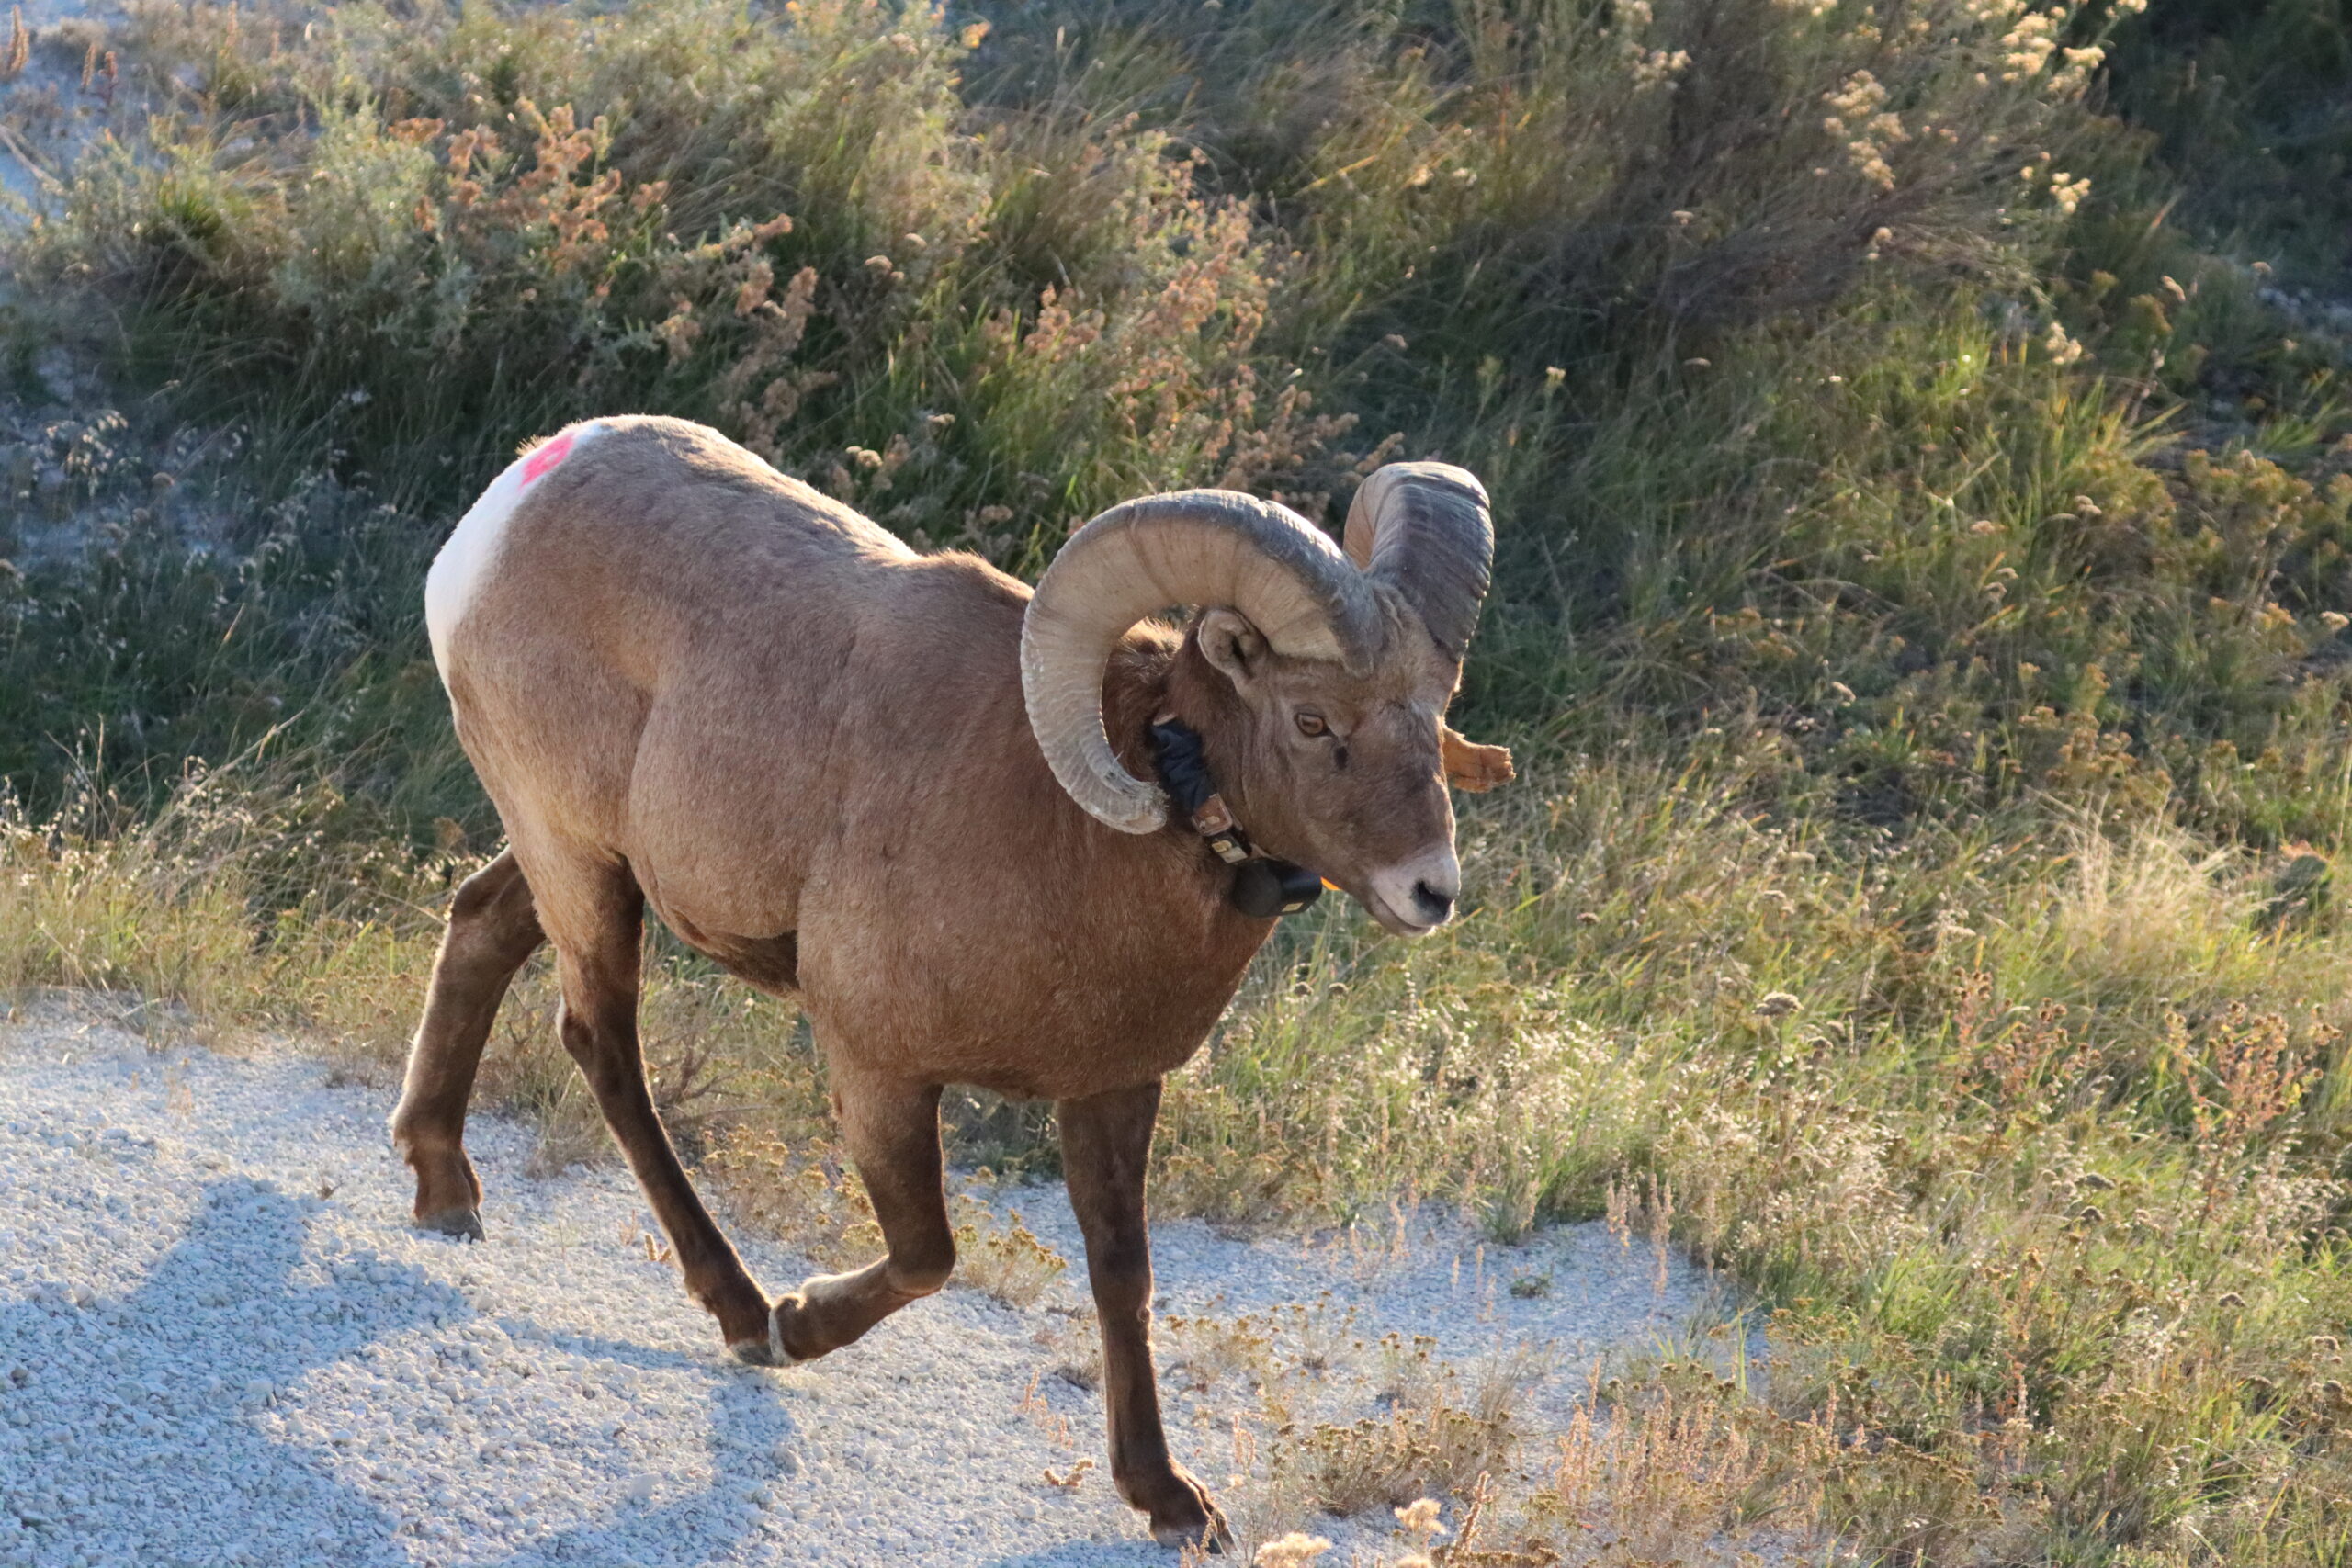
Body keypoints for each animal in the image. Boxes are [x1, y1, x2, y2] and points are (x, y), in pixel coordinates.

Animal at [391, 414, 1512, 1548]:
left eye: (1435, 713)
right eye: (1313, 721)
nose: (1430, 890)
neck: (1071, 843)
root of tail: (513, 503)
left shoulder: (1112, 1090)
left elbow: (1123, 1278)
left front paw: (1170, 1500)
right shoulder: (876, 1067)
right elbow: (928, 1252)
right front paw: (795, 1326)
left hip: (572, 859)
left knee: (481, 927)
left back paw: (444, 1189)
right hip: (579, 859)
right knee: (604, 1045)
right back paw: (740, 1309)